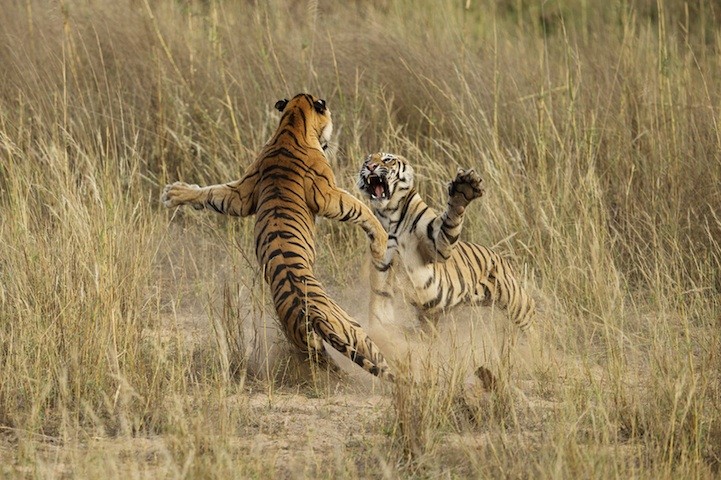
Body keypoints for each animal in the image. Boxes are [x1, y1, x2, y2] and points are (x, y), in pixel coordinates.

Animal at [162, 94, 394, 381]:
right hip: (354, 329)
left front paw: (175, 193)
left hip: (313, 343)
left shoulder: (242, 194)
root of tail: (312, 316)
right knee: (380, 363)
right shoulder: (327, 195)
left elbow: (212, 193)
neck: (291, 123)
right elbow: (359, 208)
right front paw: (381, 239)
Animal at [357, 152, 535, 333]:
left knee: (531, 316)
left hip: (516, 301)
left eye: (387, 159)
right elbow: (380, 305)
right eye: (367, 161)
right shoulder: (383, 266)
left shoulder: (437, 244)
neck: (390, 213)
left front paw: (464, 188)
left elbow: (451, 218)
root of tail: (502, 259)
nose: (370, 167)